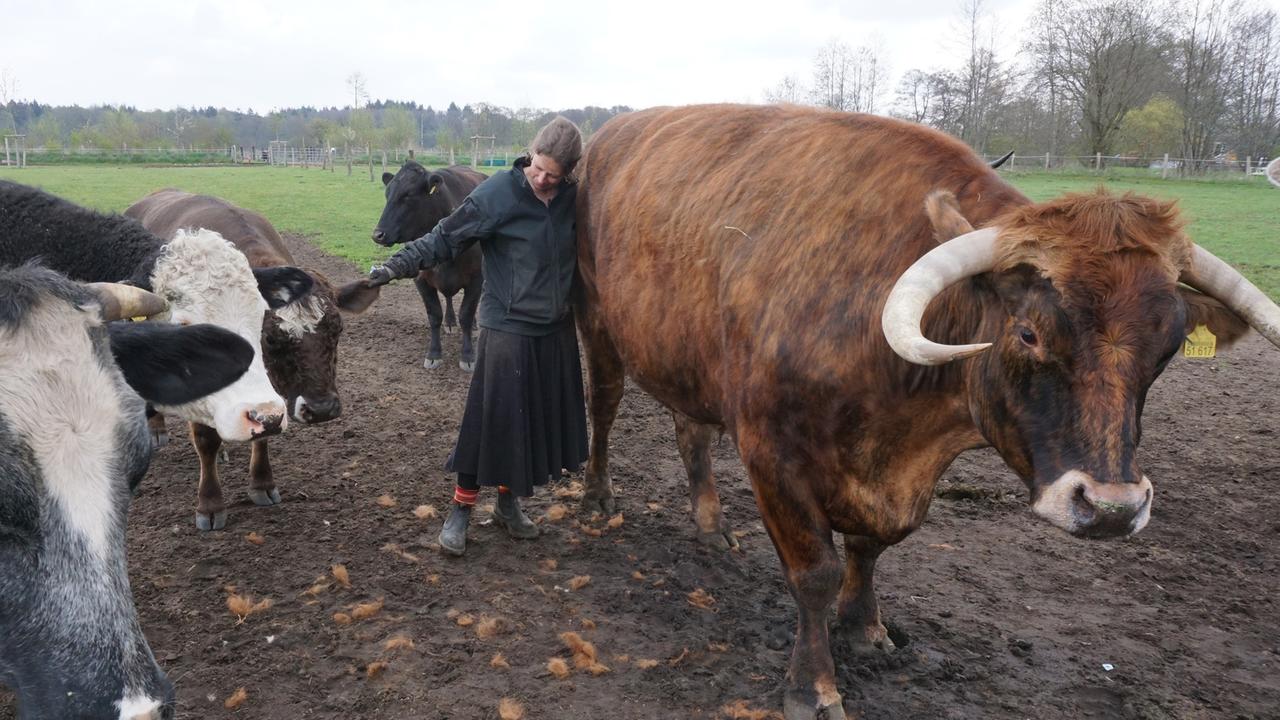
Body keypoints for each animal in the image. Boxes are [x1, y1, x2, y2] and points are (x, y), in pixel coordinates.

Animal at [125, 188, 348, 530]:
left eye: (337, 330)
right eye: (272, 339)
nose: (322, 409)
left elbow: (264, 433)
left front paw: (262, 482)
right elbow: (205, 440)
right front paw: (210, 504)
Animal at [376, 159, 486, 366]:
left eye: (408, 195)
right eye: (387, 195)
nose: (378, 234)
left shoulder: (477, 278)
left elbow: (466, 315)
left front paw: (468, 355)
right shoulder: (421, 280)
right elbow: (434, 315)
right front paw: (434, 353)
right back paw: (450, 322)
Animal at [578, 102, 1280, 717]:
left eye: (1170, 346)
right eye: (1028, 333)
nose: (1111, 509)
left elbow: (871, 547)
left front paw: (867, 629)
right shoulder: (771, 452)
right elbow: (814, 573)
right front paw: (813, 688)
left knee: (691, 432)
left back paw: (709, 525)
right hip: (596, 326)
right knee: (603, 409)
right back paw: (597, 498)